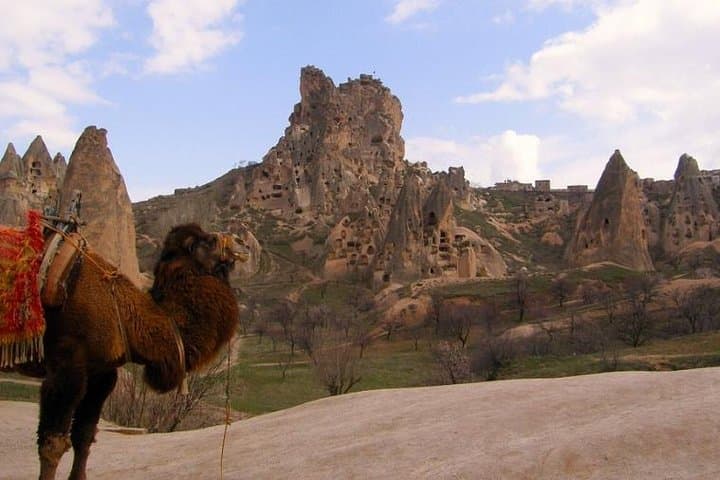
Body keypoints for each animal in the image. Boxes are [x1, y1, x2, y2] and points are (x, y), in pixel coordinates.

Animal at [25, 223, 246, 480]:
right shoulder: (65, 367)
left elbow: (84, 436)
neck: (120, 311)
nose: (242, 241)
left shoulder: (101, 374)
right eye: (207, 241)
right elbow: (53, 444)